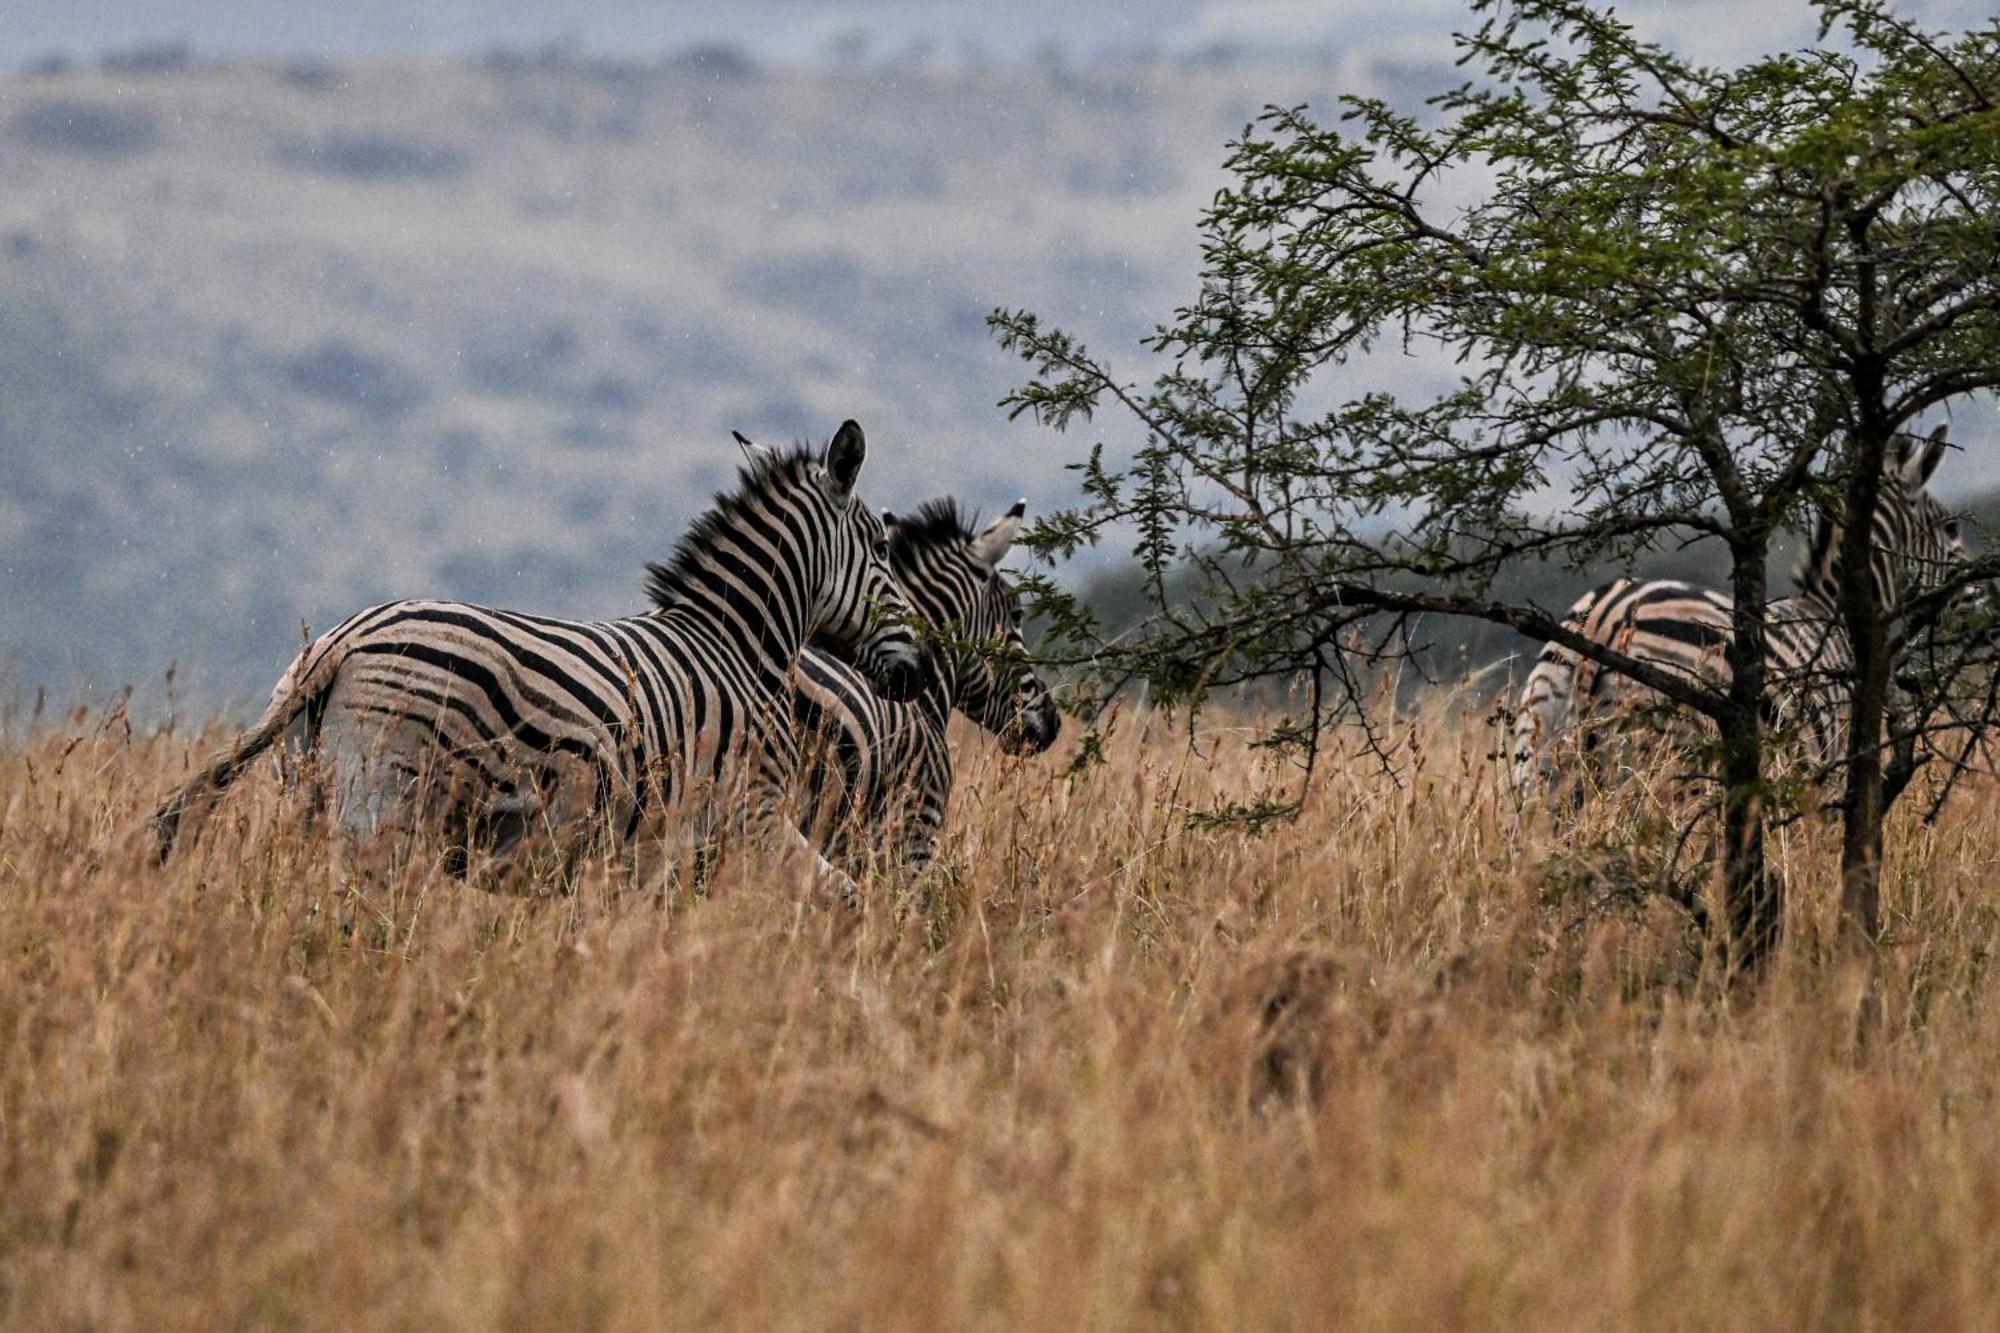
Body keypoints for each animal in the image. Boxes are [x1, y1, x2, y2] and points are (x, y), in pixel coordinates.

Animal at [150, 416, 928, 896]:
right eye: (882, 548)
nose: (920, 672)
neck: (738, 644)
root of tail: (339, 643)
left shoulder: (646, 854)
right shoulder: (750, 816)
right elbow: (840, 896)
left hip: (308, 798)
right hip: (379, 806)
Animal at [1512, 420, 1968, 784]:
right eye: (1951, 528)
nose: (1973, 597)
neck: (1830, 609)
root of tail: (1605, 616)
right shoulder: (1829, 767)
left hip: (1536, 752)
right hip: (1667, 755)